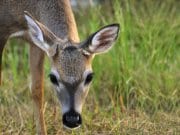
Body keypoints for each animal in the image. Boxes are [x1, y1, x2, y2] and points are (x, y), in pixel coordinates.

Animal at [0, 0, 120, 134]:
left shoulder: (35, 42)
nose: (72, 119)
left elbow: (37, 89)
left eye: (89, 77)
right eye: (53, 78)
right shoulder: (2, 30)